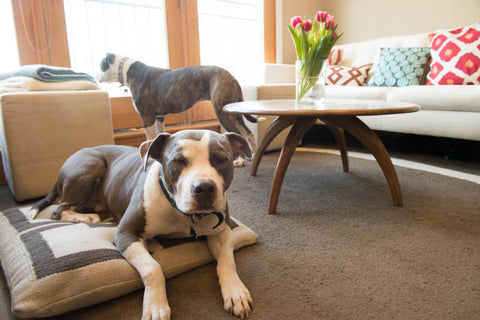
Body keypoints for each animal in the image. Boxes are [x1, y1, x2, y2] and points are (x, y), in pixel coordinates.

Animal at [31, 130, 253, 320]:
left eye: (221, 160)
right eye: (178, 161)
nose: (204, 187)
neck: (182, 213)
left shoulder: (222, 231)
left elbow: (226, 260)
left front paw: (235, 292)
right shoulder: (125, 233)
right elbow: (152, 267)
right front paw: (156, 306)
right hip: (91, 164)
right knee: (58, 209)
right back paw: (88, 218)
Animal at [95, 52, 256, 166]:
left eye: (100, 65)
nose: (95, 76)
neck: (127, 70)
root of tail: (232, 76)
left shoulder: (147, 117)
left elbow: (150, 137)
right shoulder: (159, 117)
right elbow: (158, 135)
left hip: (223, 112)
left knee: (238, 134)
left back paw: (240, 161)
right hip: (234, 113)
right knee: (248, 133)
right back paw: (252, 155)